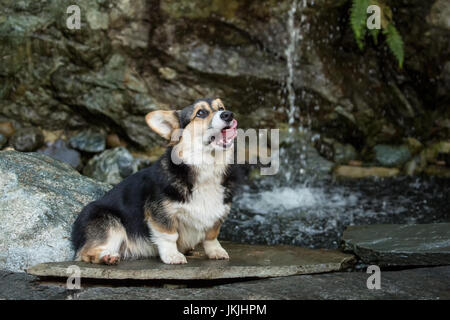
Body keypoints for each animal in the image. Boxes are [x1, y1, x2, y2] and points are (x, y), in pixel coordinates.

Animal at [71, 97, 239, 264]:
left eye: (221, 107)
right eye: (201, 113)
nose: (228, 114)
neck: (206, 168)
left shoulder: (217, 216)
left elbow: (211, 236)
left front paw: (216, 251)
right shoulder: (161, 213)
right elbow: (169, 236)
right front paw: (173, 255)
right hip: (111, 224)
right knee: (86, 253)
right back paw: (107, 256)